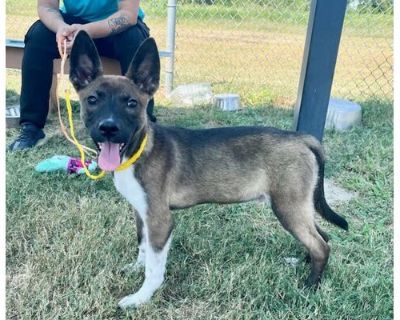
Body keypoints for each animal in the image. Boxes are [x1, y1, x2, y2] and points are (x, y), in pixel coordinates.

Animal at [70, 31, 348, 308]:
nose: (108, 128)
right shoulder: (141, 211)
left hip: (288, 206)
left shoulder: (160, 220)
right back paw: (301, 263)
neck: (138, 150)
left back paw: (310, 287)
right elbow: (142, 245)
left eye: (131, 103)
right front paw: (135, 268)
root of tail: (301, 138)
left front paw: (141, 297)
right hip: (298, 206)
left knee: (321, 245)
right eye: (92, 100)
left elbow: (154, 268)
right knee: (322, 236)